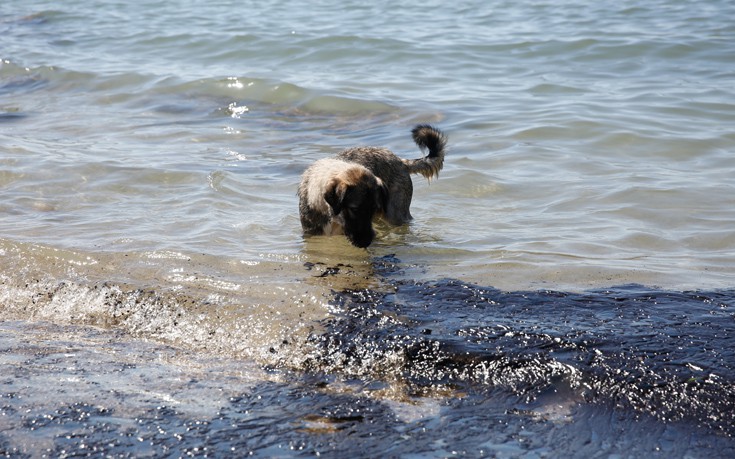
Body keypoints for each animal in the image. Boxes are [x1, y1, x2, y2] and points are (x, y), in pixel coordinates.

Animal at [300, 125, 448, 248]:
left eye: (372, 208)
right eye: (354, 209)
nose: (366, 242)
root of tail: (400, 161)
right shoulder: (311, 233)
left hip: (395, 215)